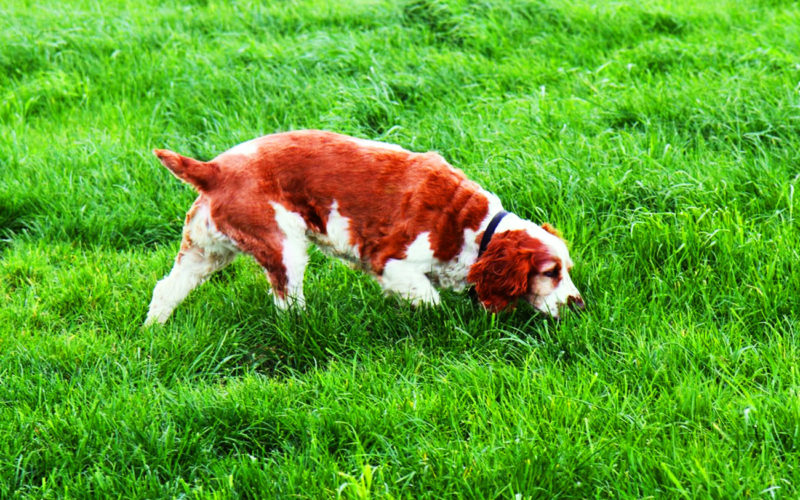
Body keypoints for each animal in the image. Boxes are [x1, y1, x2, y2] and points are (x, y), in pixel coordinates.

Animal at [142, 130, 580, 324]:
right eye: (550, 272)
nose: (579, 304)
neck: (473, 227)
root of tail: (213, 170)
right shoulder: (393, 262)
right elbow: (429, 299)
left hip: (205, 250)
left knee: (166, 289)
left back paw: (154, 332)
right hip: (283, 247)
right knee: (287, 303)